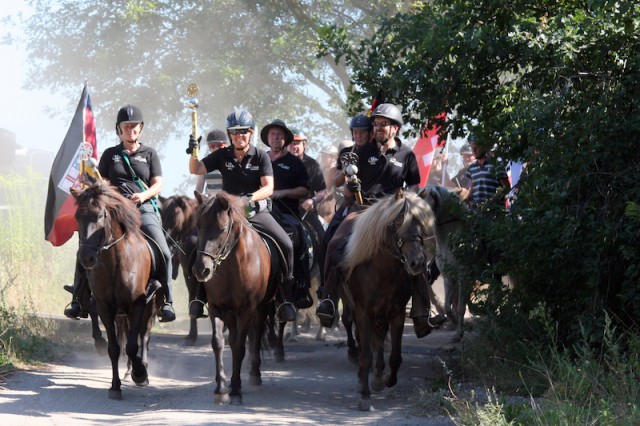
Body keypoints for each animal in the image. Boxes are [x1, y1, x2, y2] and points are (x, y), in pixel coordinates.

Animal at [70, 181, 162, 400]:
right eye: (77, 217)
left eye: (100, 216)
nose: (86, 258)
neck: (115, 263)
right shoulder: (105, 307)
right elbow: (114, 348)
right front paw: (115, 386)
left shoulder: (137, 304)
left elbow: (132, 345)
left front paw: (140, 374)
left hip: (150, 306)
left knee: (144, 335)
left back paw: (141, 366)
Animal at [157, 195, 204, 344]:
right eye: (162, 216)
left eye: (175, 217)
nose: (167, 243)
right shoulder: (188, 274)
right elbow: (192, 299)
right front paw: (192, 335)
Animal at [190, 191, 284, 404]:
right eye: (198, 226)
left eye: (222, 228)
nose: (201, 269)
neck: (231, 267)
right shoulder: (217, 307)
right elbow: (218, 343)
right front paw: (221, 389)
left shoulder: (247, 310)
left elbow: (240, 347)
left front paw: (235, 390)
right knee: (234, 339)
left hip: (261, 308)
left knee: (255, 335)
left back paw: (255, 374)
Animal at [340, 189, 436, 410]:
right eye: (398, 221)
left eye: (421, 223)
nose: (417, 263)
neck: (382, 272)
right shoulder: (362, 313)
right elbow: (366, 355)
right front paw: (364, 396)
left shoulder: (396, 314)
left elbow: (395, 357)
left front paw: (384, 380)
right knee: (355, 332)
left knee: (379, 342)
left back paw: (376, 376)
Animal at [422, 186, 468, 342]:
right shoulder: (448, 276)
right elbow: (448, 307)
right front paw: (452, 321)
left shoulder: (464, 275)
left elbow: (460, 307)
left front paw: (459, 333)